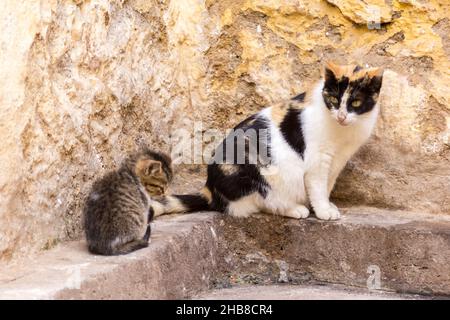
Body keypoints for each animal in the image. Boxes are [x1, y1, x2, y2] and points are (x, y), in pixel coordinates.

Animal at [154, 61, 384, 220]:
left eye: (356, 103)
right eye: (334, 99)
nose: (342, 116)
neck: (343, 133)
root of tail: (209, 188)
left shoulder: (337, 161)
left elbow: (327, 185)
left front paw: (325, 206)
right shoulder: (317, 160)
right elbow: (318, 186)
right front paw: (323, 211)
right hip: (251, 166)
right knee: (261, 202)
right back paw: (295, 209)